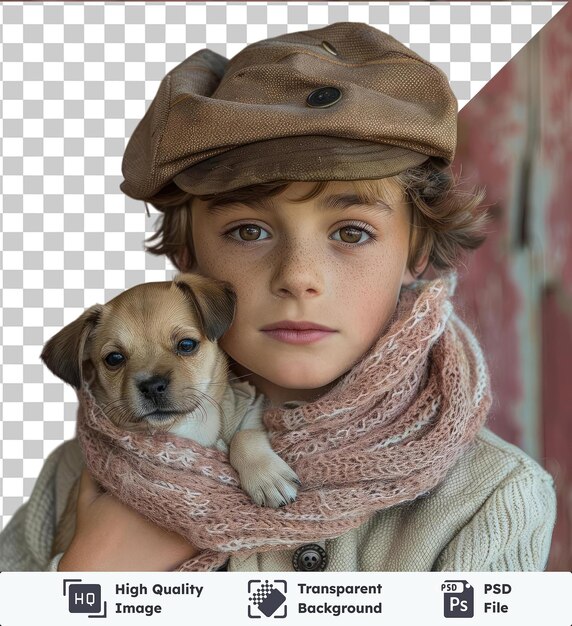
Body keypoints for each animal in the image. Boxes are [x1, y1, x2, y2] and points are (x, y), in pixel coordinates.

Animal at [40, 272, 300, 556]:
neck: (185, 428)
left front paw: (266, 477)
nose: (152, 385)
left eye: (186, 345)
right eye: (114, 359)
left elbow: (245, 436)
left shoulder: (251, 406)